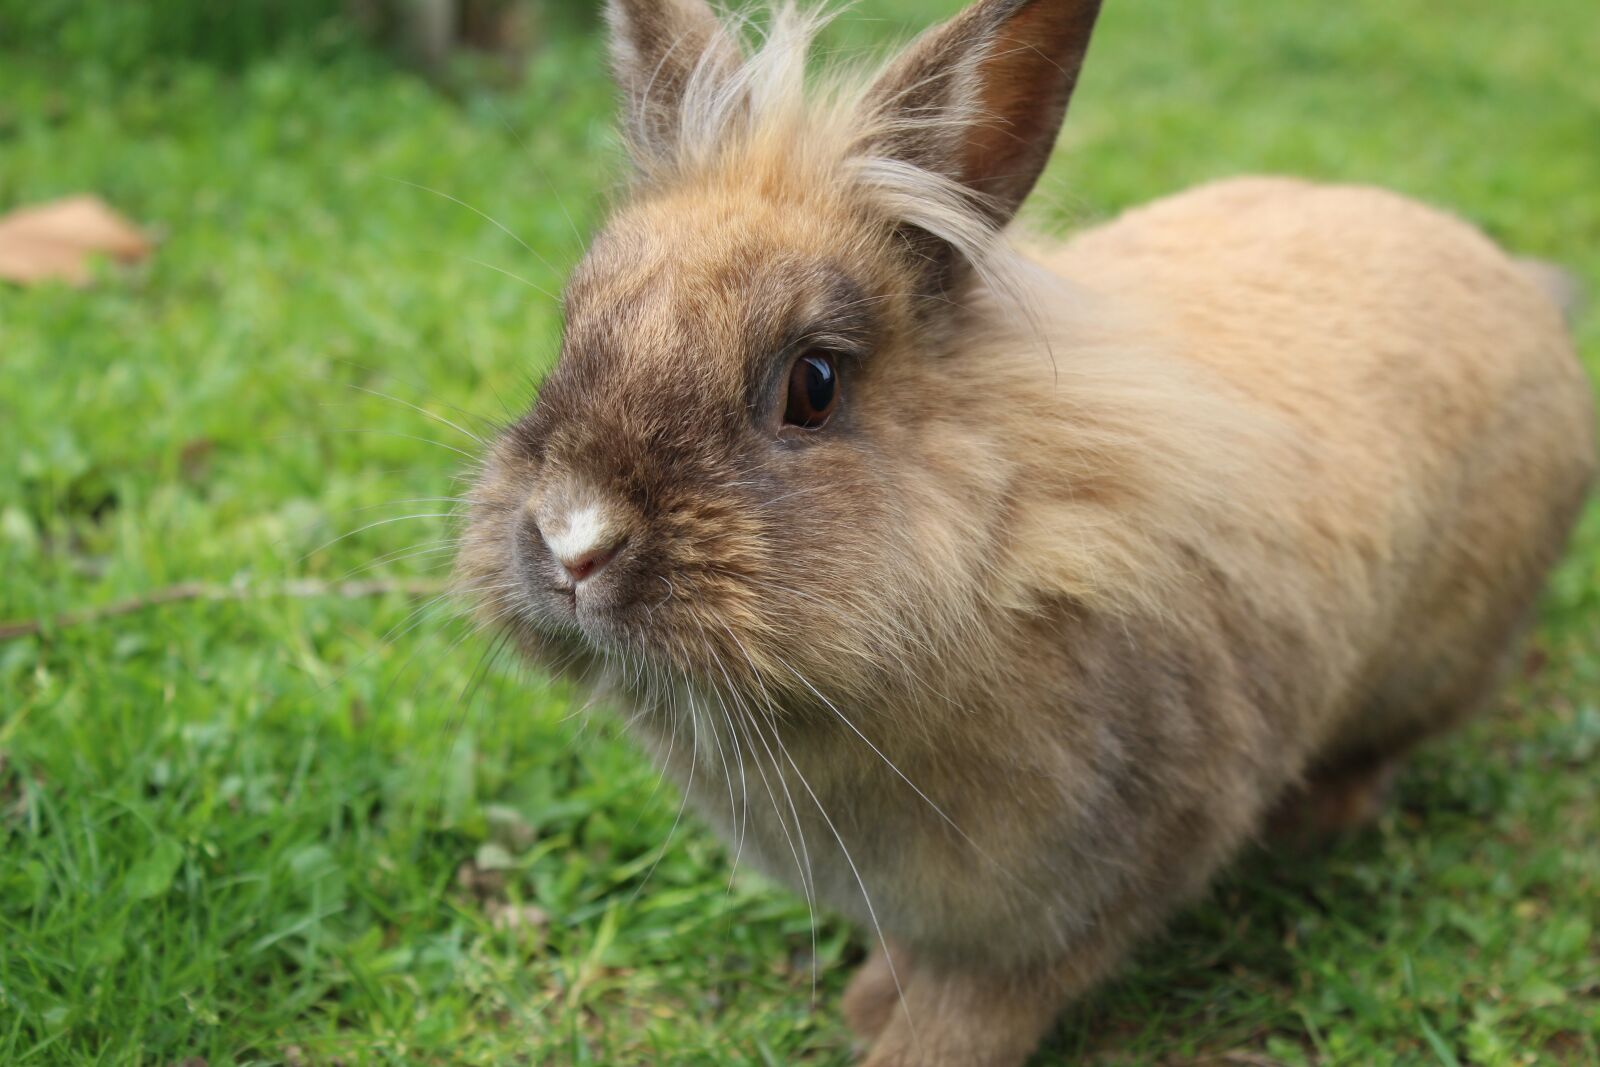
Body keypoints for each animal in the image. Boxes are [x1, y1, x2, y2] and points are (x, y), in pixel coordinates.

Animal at [454, 0, 1595, 1063]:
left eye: (812, 385)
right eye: (573, 328)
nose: (573, 540)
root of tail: (1517, 285)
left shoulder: (1080, 891)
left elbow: (984, 1000)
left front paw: (894, 1039)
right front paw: (866, 1001)